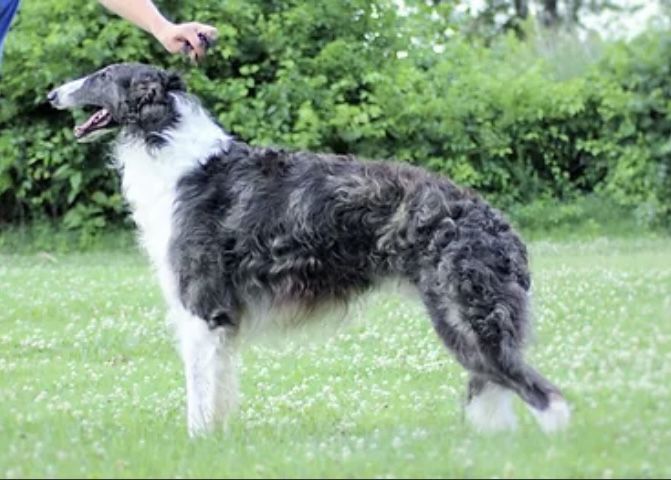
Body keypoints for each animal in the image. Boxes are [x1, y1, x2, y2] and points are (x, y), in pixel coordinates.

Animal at [48, 63, 572, 438]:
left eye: (101, 76)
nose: (52, 94)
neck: (175, 156)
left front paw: (196, 445)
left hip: (466, 317)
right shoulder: (221, 320)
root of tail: (499, 225)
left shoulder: (201, 308)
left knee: (546, 396)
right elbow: (219, 390)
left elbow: (198, 395)